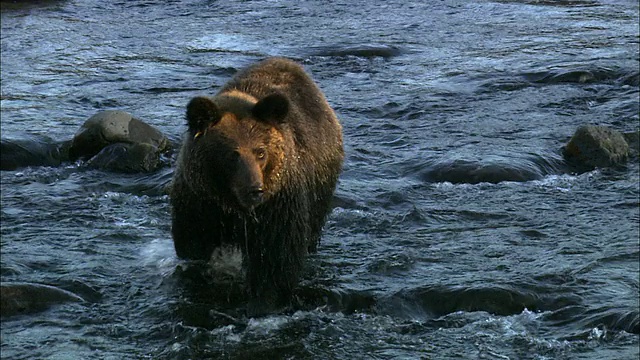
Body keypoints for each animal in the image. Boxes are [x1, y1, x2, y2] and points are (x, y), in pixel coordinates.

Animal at [168, 57, 342, 310]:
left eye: (260, 152)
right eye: (232, 155)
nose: (255, 190)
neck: (233, 206)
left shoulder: (278, 205)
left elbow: (276, 258)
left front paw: (264, 300)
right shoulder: (200, 203)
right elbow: (194, 247)